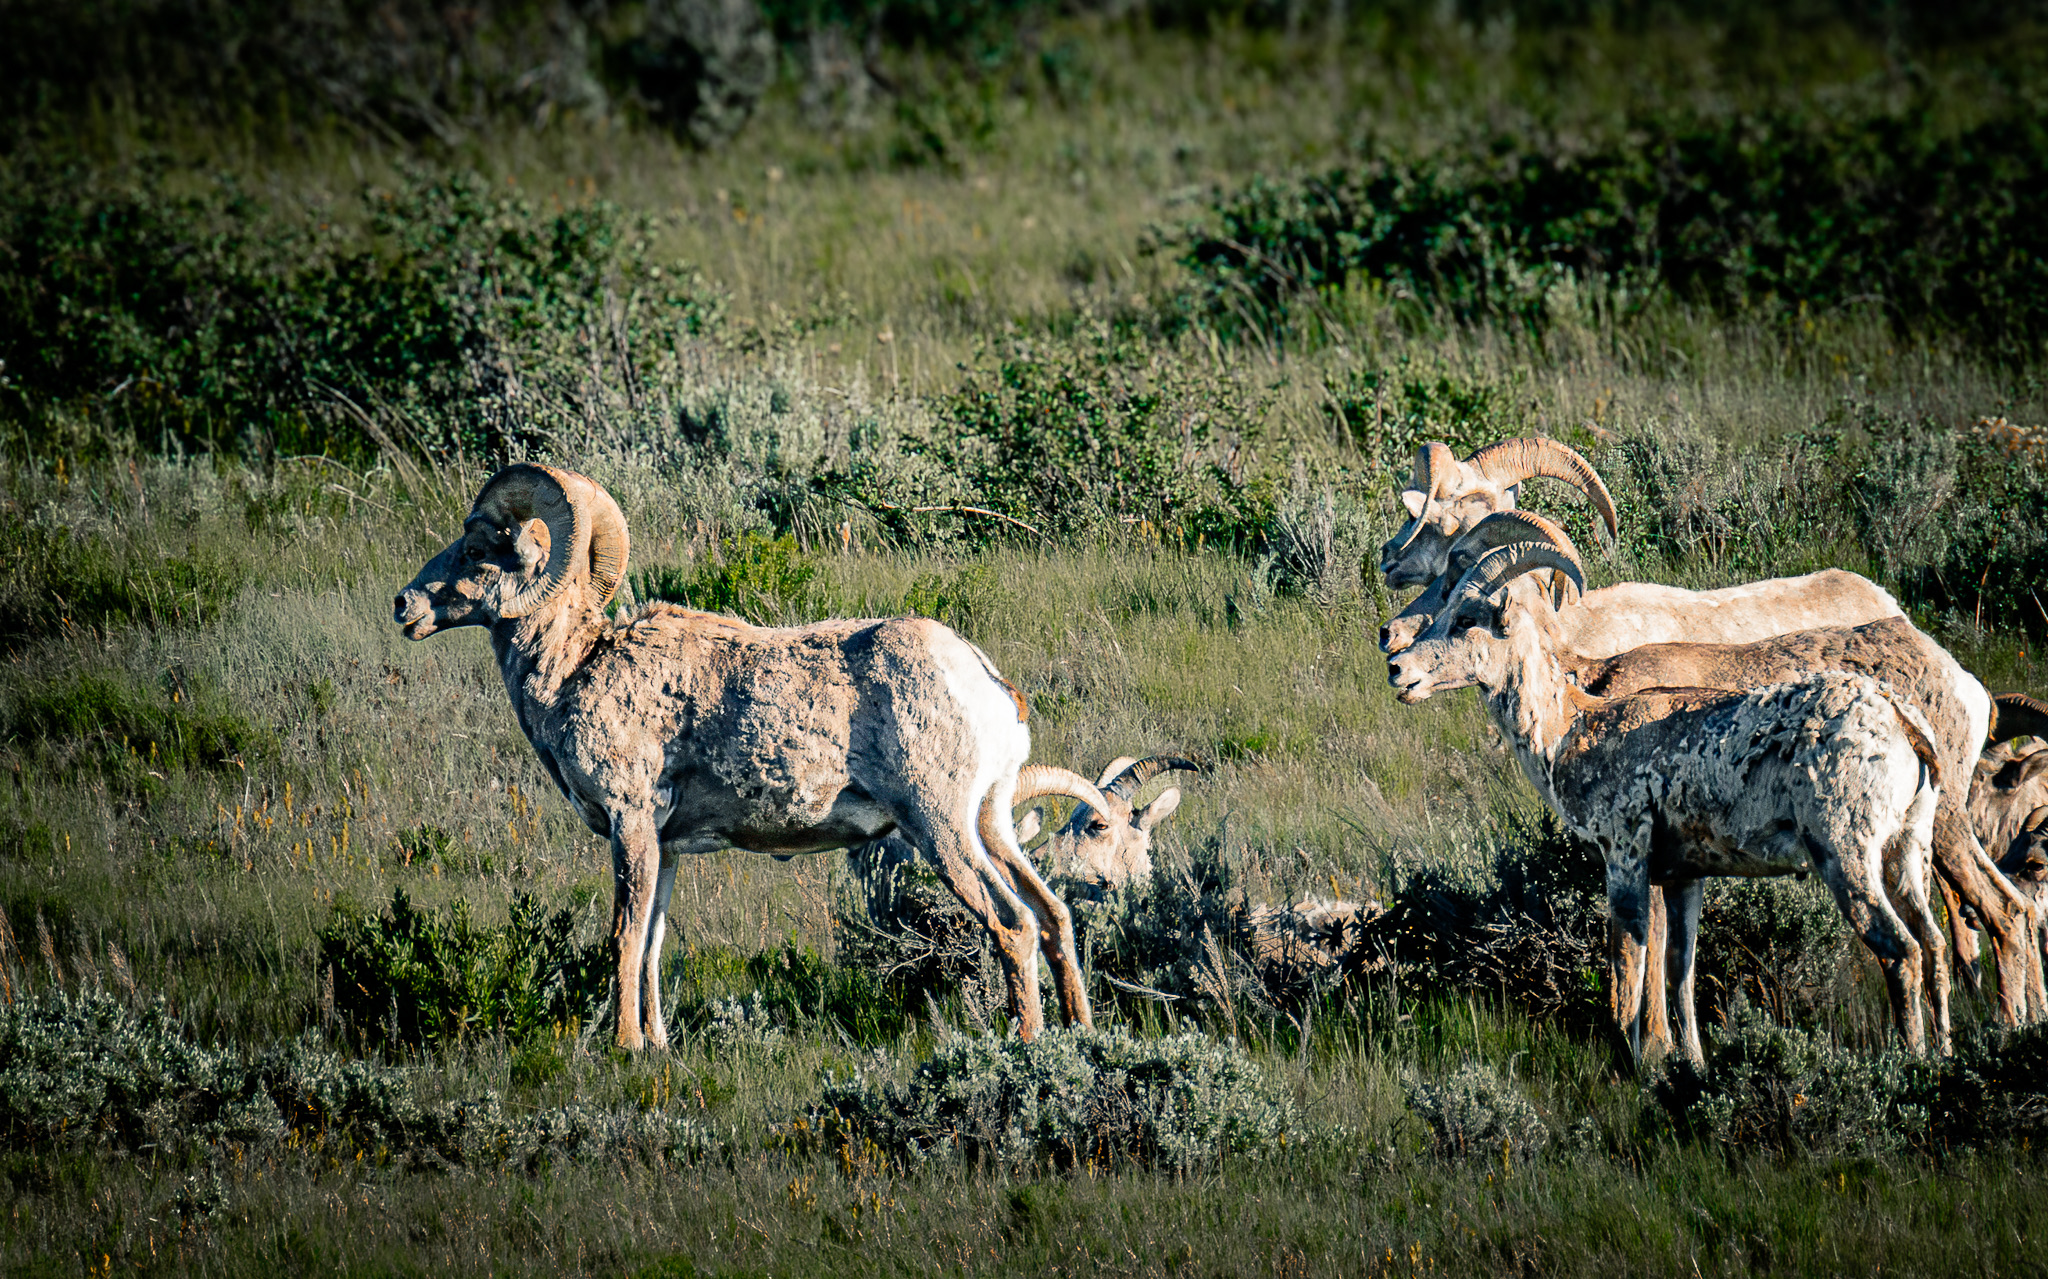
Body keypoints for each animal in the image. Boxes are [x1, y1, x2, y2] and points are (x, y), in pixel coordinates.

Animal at [393, 463, 1116, 1048]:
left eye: (479, 548)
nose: (403, 605)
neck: (574, 669)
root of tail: (986, 682)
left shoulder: (630, 823)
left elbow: (624, 937)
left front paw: (624, 1046)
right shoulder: (667, 847)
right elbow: (652, 942)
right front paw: (657, 1044)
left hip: (939, 828)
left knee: (1012, 923)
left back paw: (1027, 1040)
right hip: (990, 822)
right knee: (1053, 916)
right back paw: (1079, 1034)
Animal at [1385, 537, 1950, 1063]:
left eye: (1464, 620)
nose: (1397, 668)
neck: (1572, 727)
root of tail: (1900, 722)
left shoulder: (1625, 858)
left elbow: (1628, 970)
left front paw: (1638, 1067)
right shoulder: (1684, 877)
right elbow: (1681, 972)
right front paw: (1692, 1064)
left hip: (1846, 855)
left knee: (1901, 951)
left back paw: (1913, 1063)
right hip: (1906, 852)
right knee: (1935, 943)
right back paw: (1944, 1056)